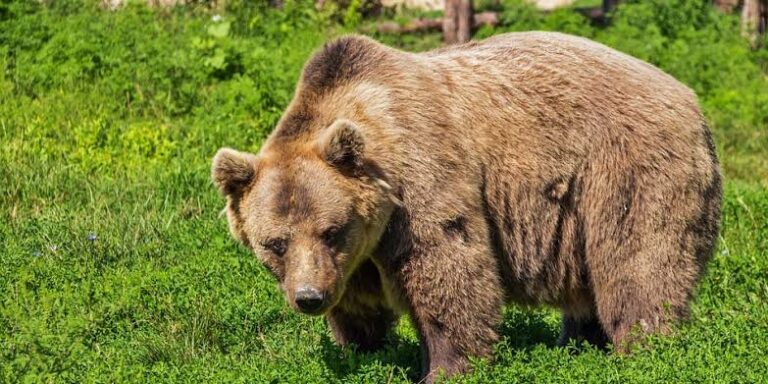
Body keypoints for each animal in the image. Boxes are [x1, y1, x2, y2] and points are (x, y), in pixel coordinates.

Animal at [210, 31, 720, 380]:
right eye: (274, 243)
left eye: (331, 230)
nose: (309, 298)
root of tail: (691, 99)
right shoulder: (354, 259)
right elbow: (358, 305)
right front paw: (362, 349)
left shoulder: (420, 182)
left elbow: (448, 268)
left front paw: (446, 366)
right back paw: (578, 343)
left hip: (626, 171)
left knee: (638, 264)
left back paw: (644, 347)